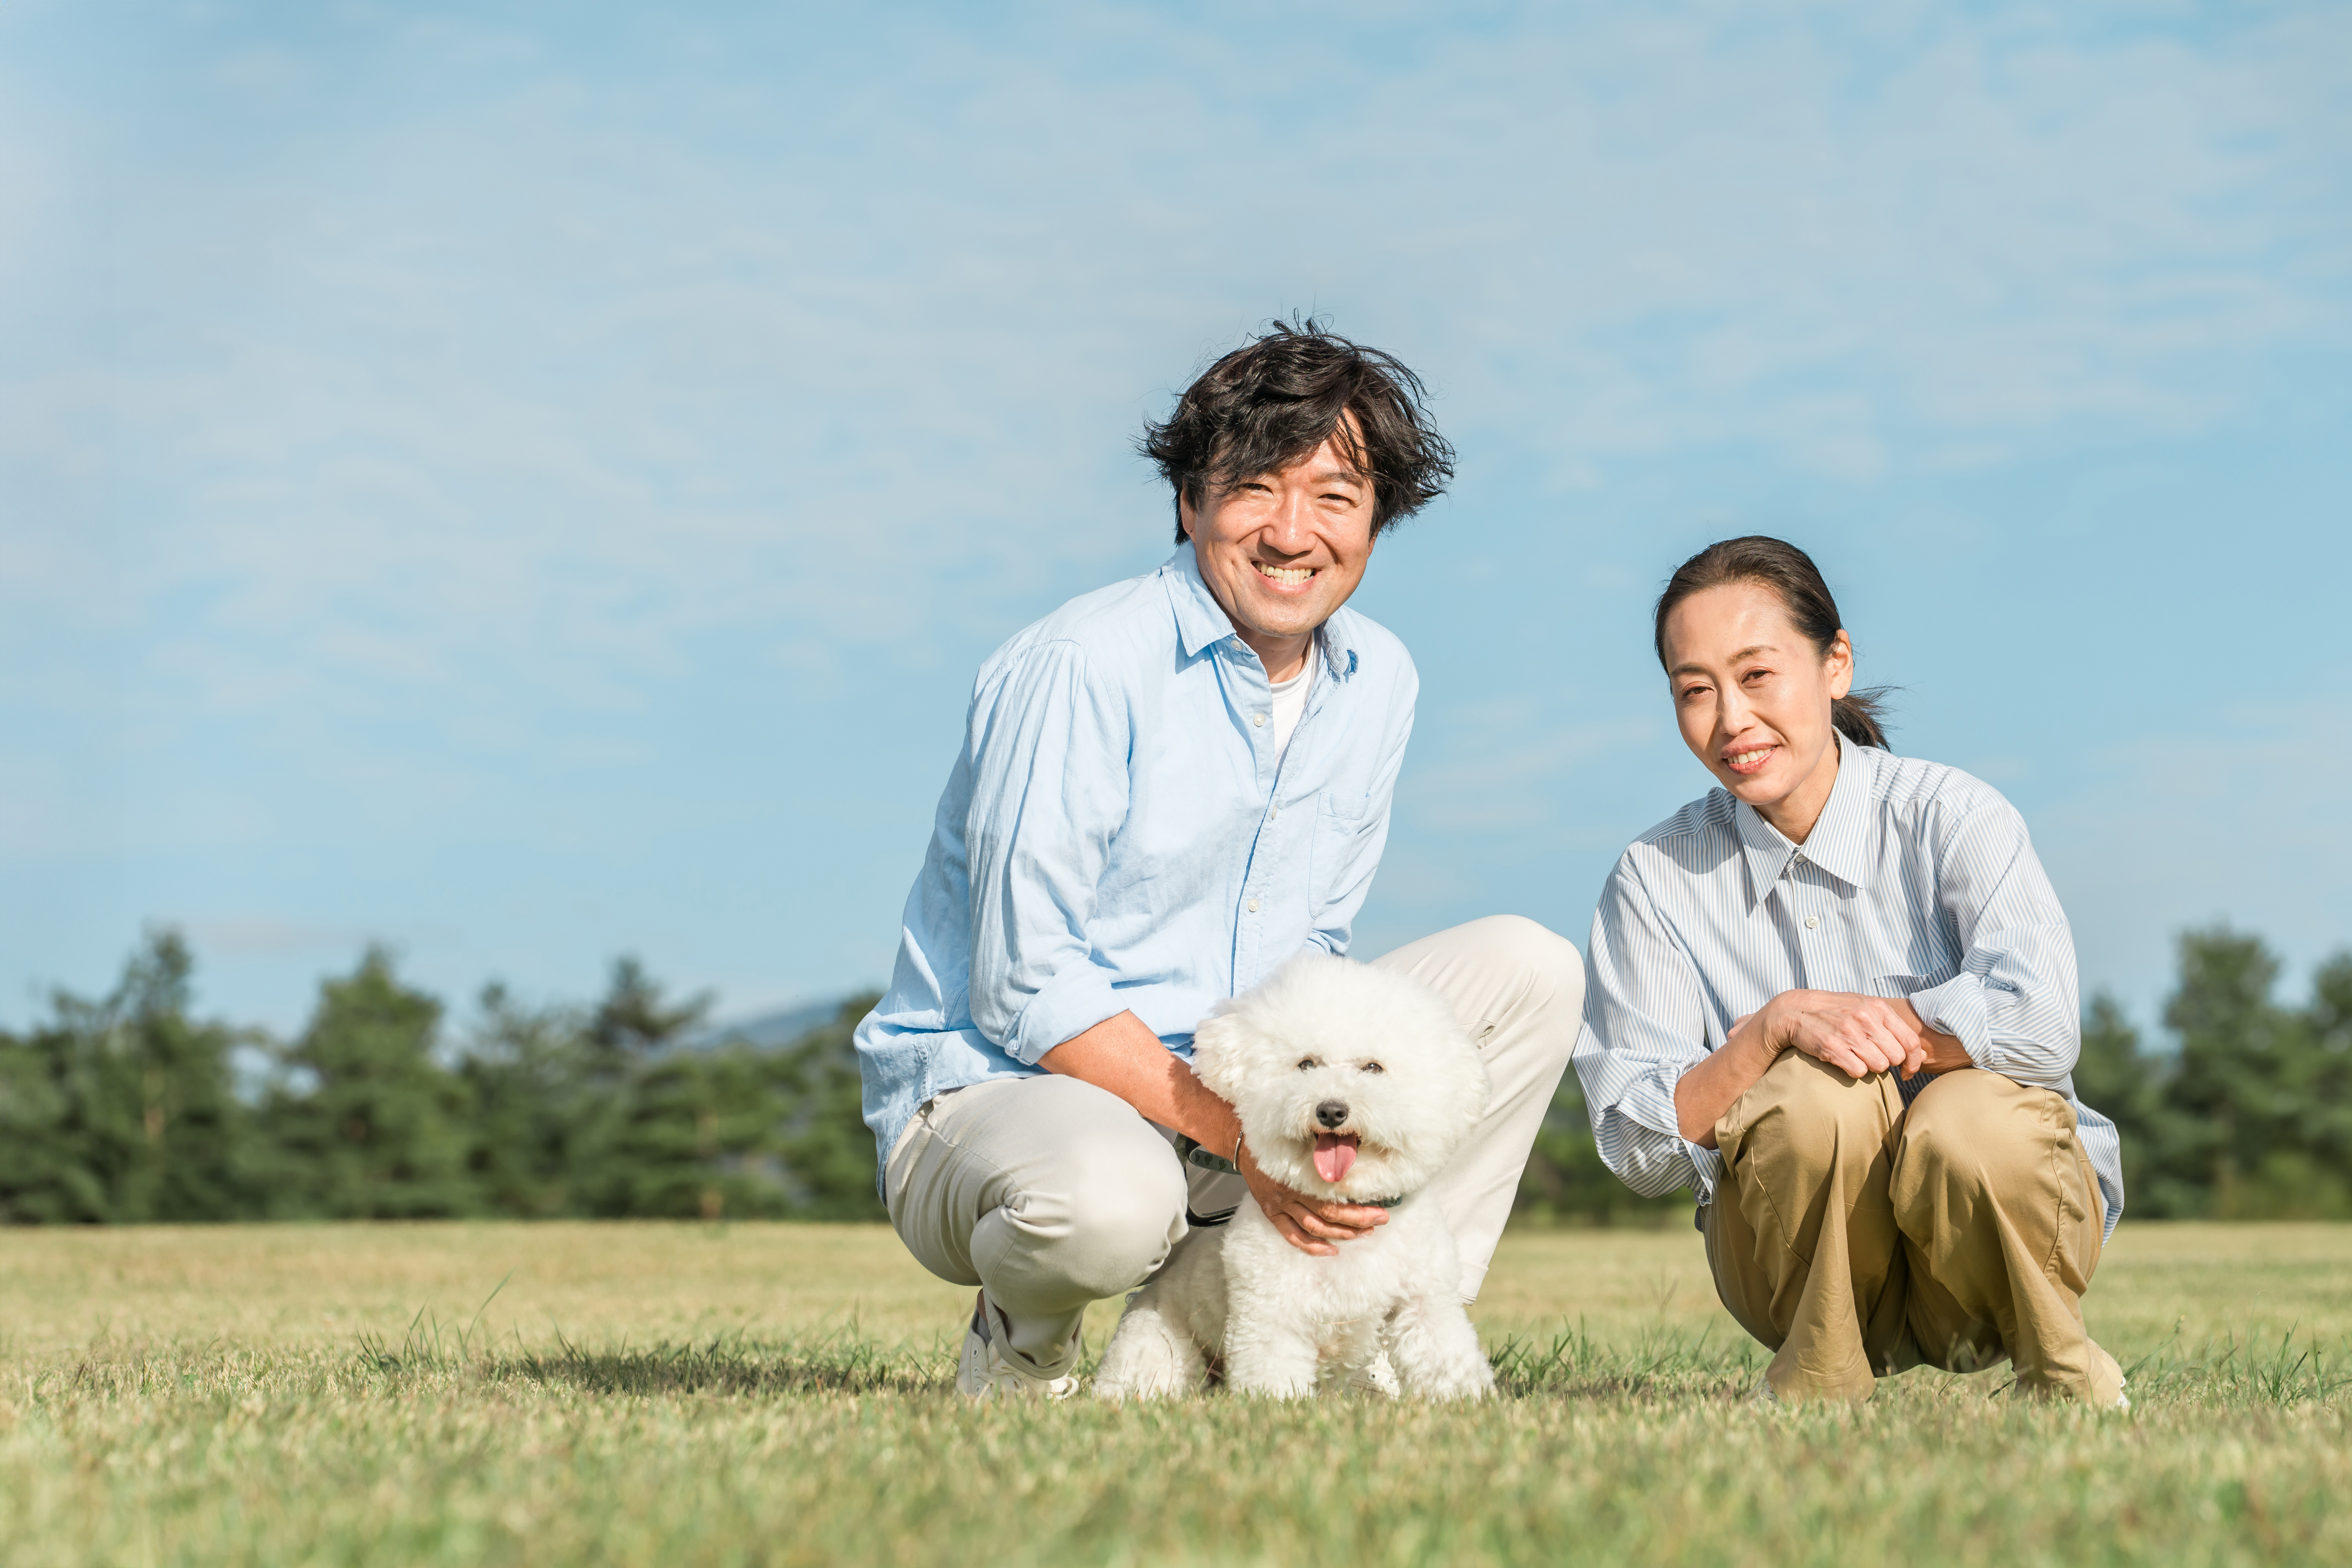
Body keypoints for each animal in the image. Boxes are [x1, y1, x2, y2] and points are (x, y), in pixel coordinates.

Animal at [1096, 950, 1496, 1401]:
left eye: (1373, 1068)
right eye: (1306, 1064)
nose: (1332, 1110)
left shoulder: (1427, 1301)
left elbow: (1447, 1357)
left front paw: (1466, 1402)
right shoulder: (1272, 1313)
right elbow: (1273, 1373)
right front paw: (1277, 1406)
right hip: (1155, 1346)